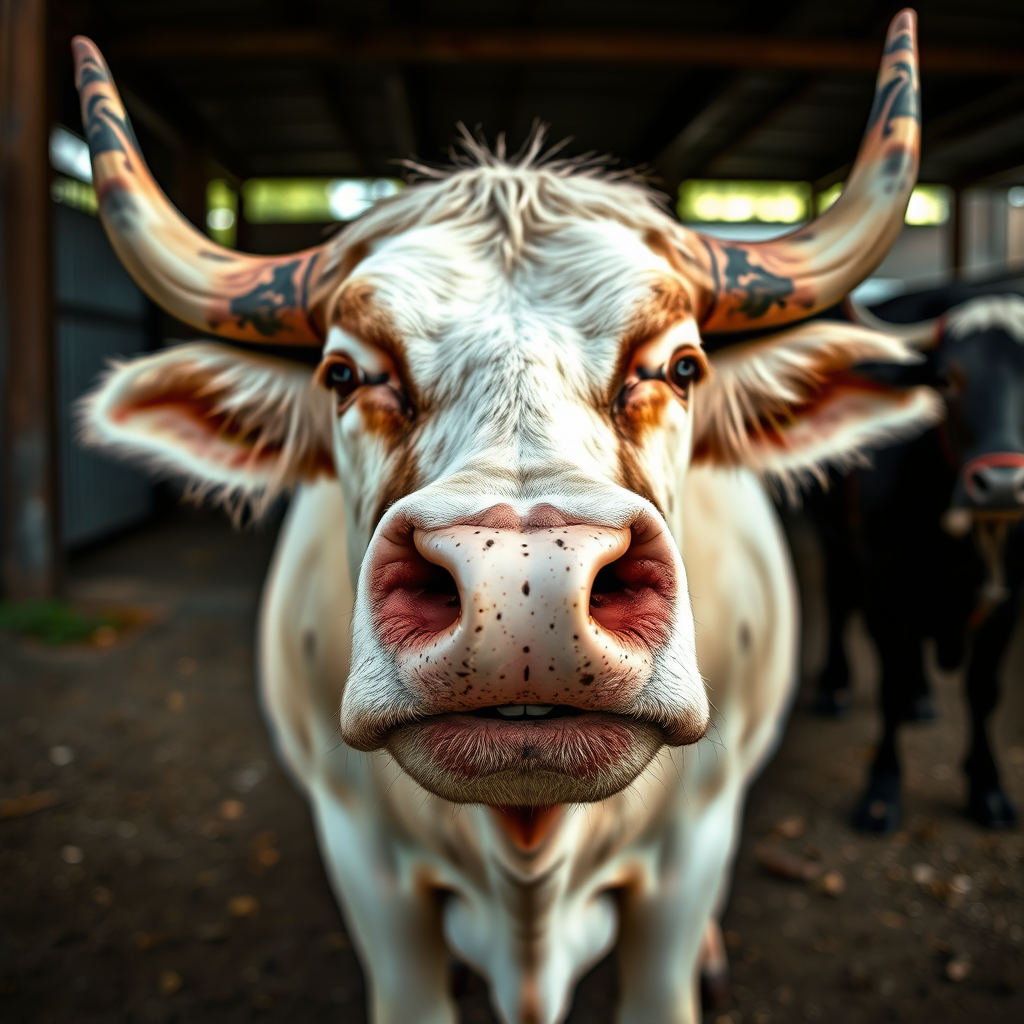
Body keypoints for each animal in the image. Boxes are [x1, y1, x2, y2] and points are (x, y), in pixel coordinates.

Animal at [825, 290, 1024, 834]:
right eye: (947, 379)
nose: (1002, 487)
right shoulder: (882, 581)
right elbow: (889, 685)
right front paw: (881, 790)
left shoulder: (1009, 600)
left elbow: (983, 691)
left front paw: (988, 787)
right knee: (837, 599)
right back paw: (835, 685)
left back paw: (922, 696)